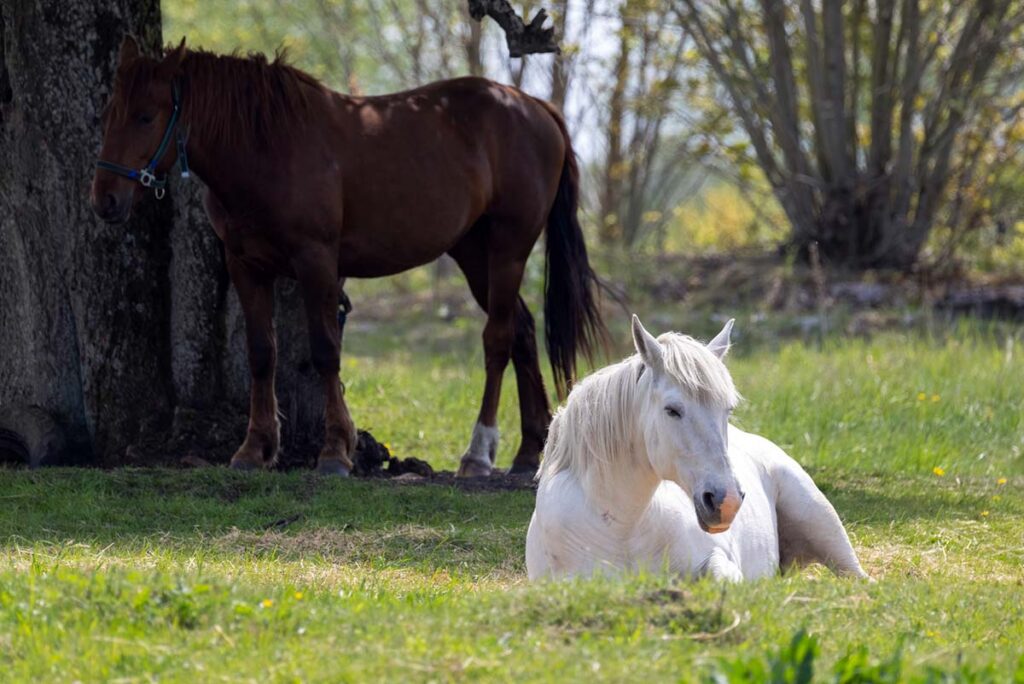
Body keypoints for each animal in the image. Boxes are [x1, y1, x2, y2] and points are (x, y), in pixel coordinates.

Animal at [90, 36, 606, 477]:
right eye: (111, 112)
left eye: (146, 116)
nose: (106, 200)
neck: (266, 146)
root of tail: (533, 106)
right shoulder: (246, 267)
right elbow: (261, 354)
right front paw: (255, 448)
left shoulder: (316, 262)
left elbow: (325, 352)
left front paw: (336, 451)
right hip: (474, 254)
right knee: (521, 331)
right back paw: (529, 450)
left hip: (508, 249)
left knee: (497, 339)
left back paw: (479, 453)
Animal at [526, 315, 868, 581]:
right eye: (672, 410)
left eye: (727, 410)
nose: (726, 501)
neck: (623, 526)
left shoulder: (719, 561)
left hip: (821, 522)